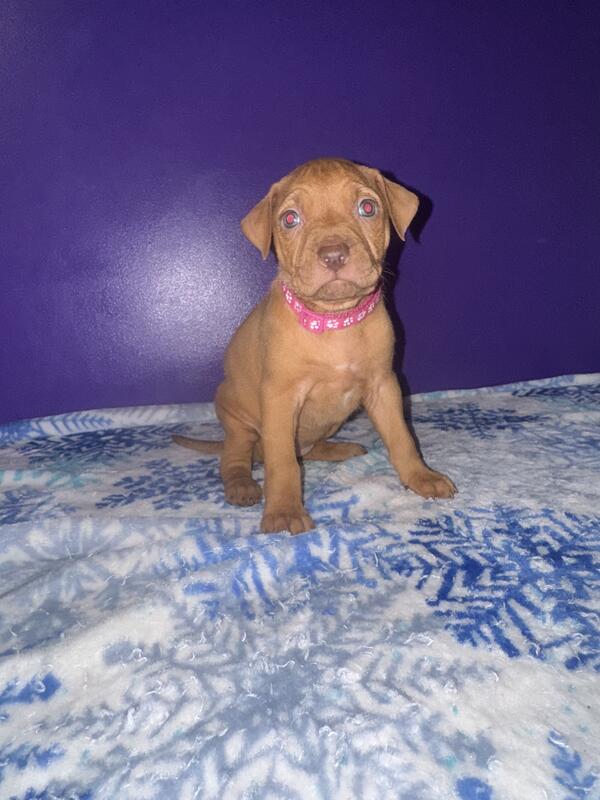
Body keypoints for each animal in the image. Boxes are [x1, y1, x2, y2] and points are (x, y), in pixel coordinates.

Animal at [174, 158, 455, 533]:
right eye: (290, 219)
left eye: (367, 208)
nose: (333, 254)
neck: (335, 322)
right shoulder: (279, 399)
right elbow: (282, 463)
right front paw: (283, 510)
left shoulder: (384, 387)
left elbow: (402, 438)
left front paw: (421, 477)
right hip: (238, 421)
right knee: (235, 458)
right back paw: (242, 486)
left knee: (305, 451)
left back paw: (339, 449)